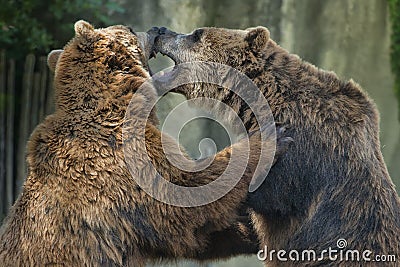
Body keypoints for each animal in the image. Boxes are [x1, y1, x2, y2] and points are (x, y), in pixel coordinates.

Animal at [0, 21, 290, 267]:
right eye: (130, 28)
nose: (156, 28)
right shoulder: (123, 160)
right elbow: (185, 195)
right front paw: (271, 138)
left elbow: (193, 235)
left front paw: (251, 231)